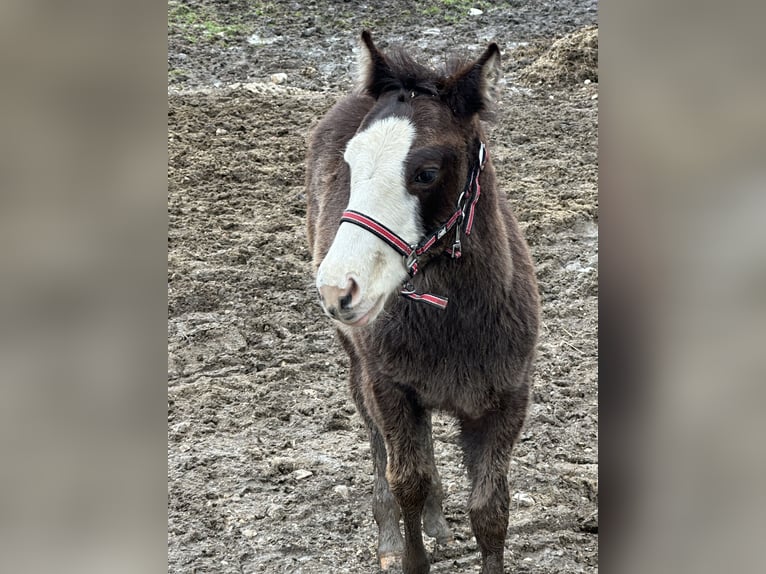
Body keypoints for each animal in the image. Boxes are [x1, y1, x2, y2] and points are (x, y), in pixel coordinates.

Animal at [305, 31, 539, 574]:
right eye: (350, 164)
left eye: (427, 172)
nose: (336, 287)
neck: (454, 322)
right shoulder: (389, 386)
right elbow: (405, 481)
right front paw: (408, 549)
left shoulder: (508, 400)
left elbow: (491, 510)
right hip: (360, 366)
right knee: (378, 442)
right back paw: (391, 538)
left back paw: (438, 522)